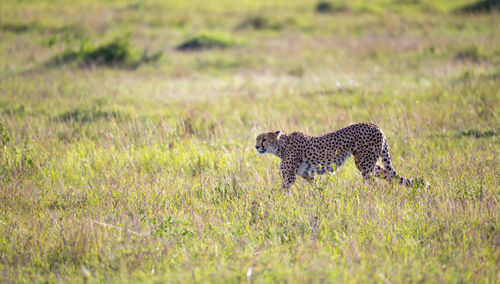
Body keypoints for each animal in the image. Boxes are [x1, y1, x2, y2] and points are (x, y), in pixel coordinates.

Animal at [256, 122, 428, 191]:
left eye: (264, 139)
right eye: (256, 139)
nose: (256, 147)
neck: (281, 146)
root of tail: (375, 125)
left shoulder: (289, 176)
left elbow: (281, 191)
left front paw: (275, 203)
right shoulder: (307, 174)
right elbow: (316, 187)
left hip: (365, 163)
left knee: (373, 183)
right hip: (365, 161)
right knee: (386, 173)